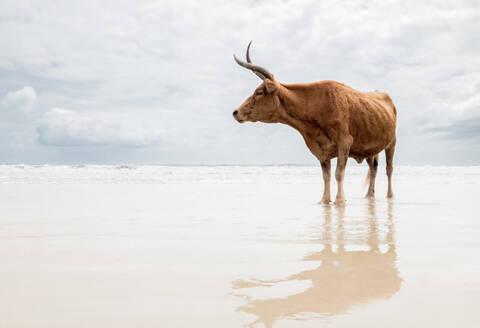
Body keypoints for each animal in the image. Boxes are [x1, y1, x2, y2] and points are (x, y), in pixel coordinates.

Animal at [232, 42, 398, 204]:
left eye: (259, 92)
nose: (236, 112)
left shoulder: (345, 141)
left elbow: (338, 173)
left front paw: (339, 200)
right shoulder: (321, 148)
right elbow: (326, 176)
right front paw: (324, 200)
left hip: (392, 143)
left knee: (389, 169)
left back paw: (390, 195)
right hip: (371, 147)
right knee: (373, 168)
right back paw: (369, 195)